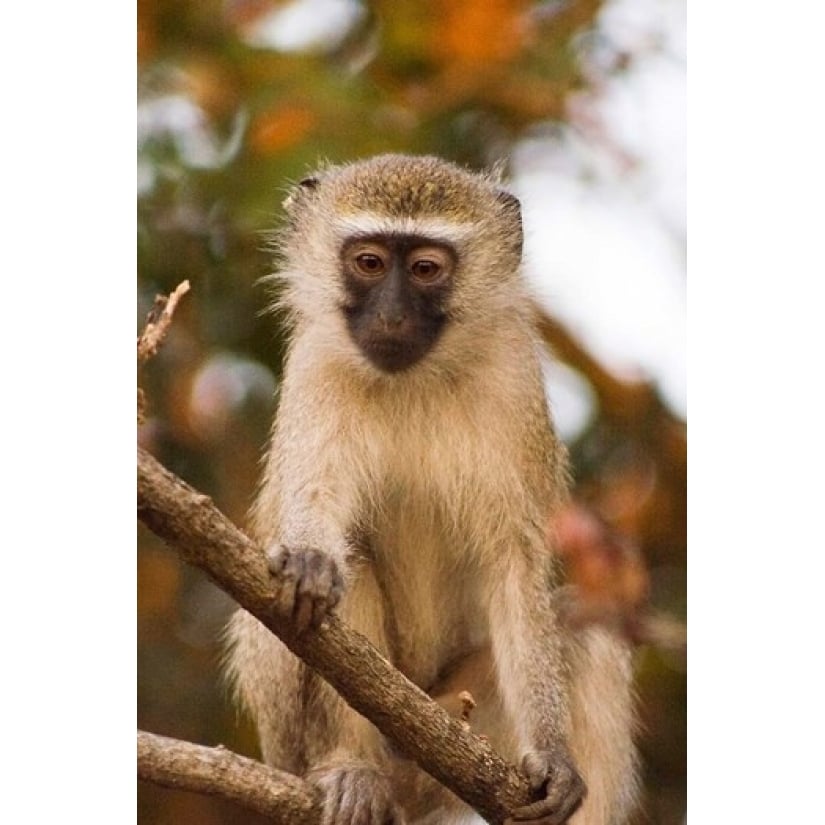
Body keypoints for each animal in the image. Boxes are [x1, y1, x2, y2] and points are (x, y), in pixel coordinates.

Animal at [225, 156, 636, 824]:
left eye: (425, 269)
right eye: (369, 262)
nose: (391, 317)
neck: (412, 379)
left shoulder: (515, 378)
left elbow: (515, 564)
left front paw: (554, 757)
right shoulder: (315, 365)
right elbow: (312, 509)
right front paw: (309, 559)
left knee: (584, 623)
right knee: (350, 566)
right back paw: (354, 770)